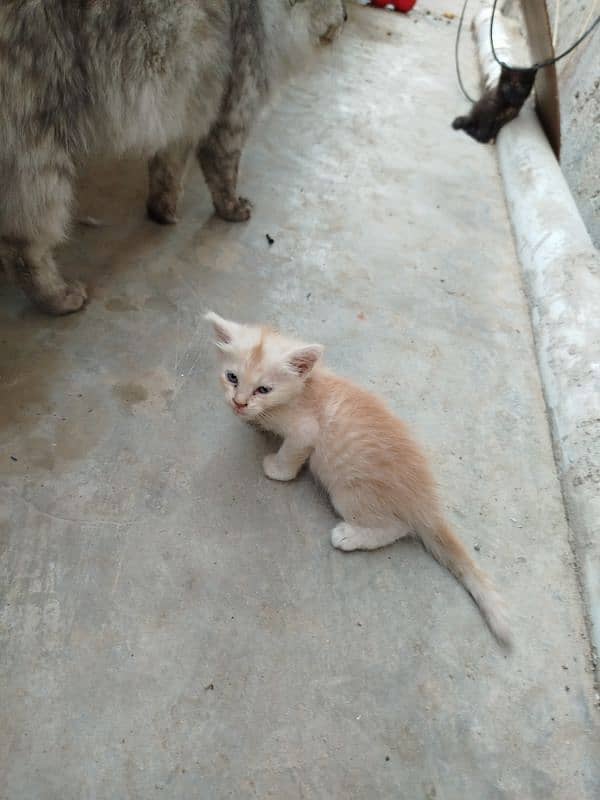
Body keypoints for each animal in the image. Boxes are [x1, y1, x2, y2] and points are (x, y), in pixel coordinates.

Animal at [1, 1, 346, 314]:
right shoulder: (229, 118)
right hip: (40, 159)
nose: (345, 16)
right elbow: (224, 176)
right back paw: (58, 297)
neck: (264, 13)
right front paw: (232, 210)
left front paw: (162, 212)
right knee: (23, 248)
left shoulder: (180, 117)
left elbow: (168, 173)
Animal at [205, 310, 510, 648]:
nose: (239, 402)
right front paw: (254, 422)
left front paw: (276, 467)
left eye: (264, 390)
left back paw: (350, 536)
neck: (304, 390)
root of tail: (426, 498)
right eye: (232, 378)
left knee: (398, 527)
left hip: (348, 494)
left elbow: (291, 455)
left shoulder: (304, 432)